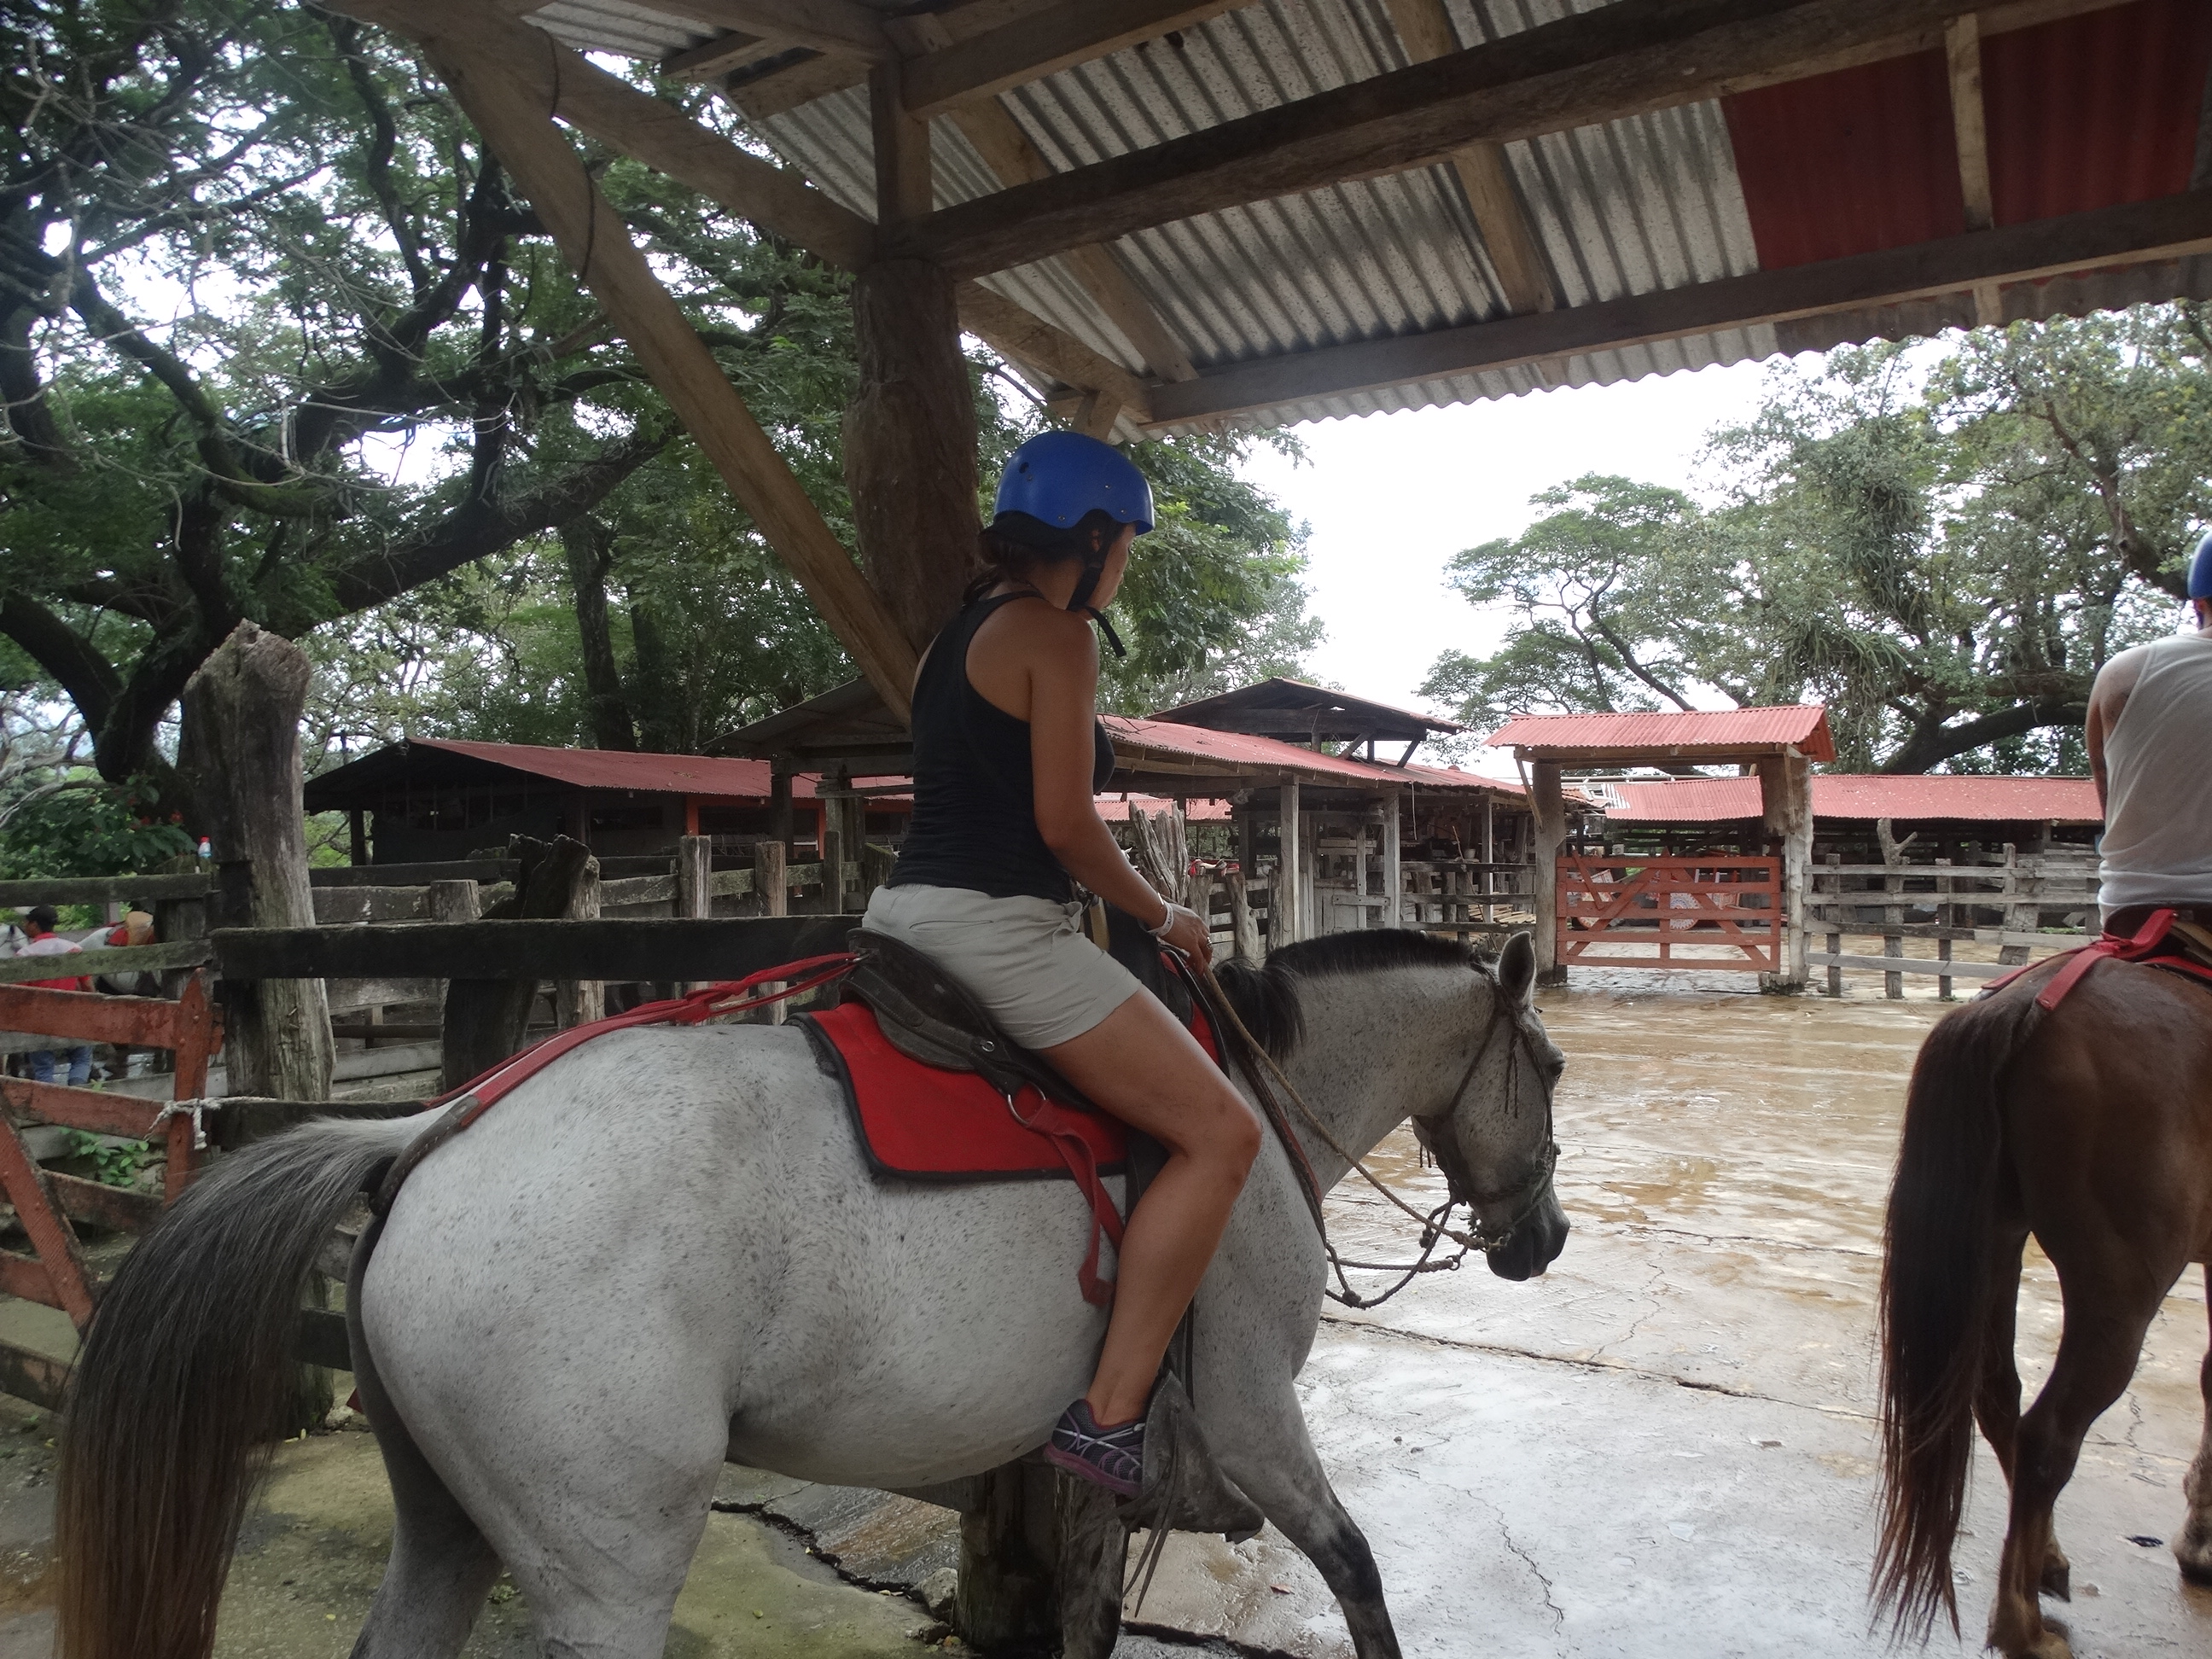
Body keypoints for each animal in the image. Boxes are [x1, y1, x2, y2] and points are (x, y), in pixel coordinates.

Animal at [55, 926, 1568, 1659]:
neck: (1242, 1097)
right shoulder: (1252, 1414)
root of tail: (427, 1136)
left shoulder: (1104, 1458)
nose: (1540, 1240)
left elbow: (1089, 1618)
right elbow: (1359, 1577)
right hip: (605, 1562)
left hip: (446, 1519)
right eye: (1550, 1069)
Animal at [1874, 954, 2212, 1659]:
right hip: (2120, 1284)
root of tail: (2027, 1001)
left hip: (1998, 1238)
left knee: (1999, 1397)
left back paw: (2045, 1562)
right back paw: (2022, 1626)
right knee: (2047, 1436)